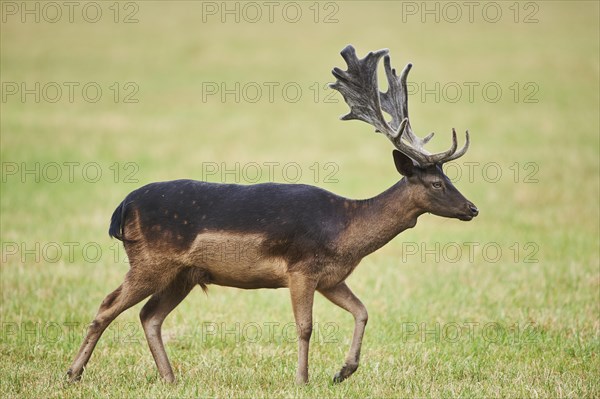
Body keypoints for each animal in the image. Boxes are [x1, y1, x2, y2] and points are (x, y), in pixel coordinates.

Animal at [67, 45, 478, 386]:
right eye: (435, 183)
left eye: (449, 177)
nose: (472, 208)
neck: (346, 232)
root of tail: (122, 208)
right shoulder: (301, 269)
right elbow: (305, 326)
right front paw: (302, 379)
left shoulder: (331, 278)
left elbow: (362, 311)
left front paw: (343, 371)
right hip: (151, 260)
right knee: (108, 306)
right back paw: (73, 373)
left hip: (183, 273)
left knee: (149, 315)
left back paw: (169, 378)